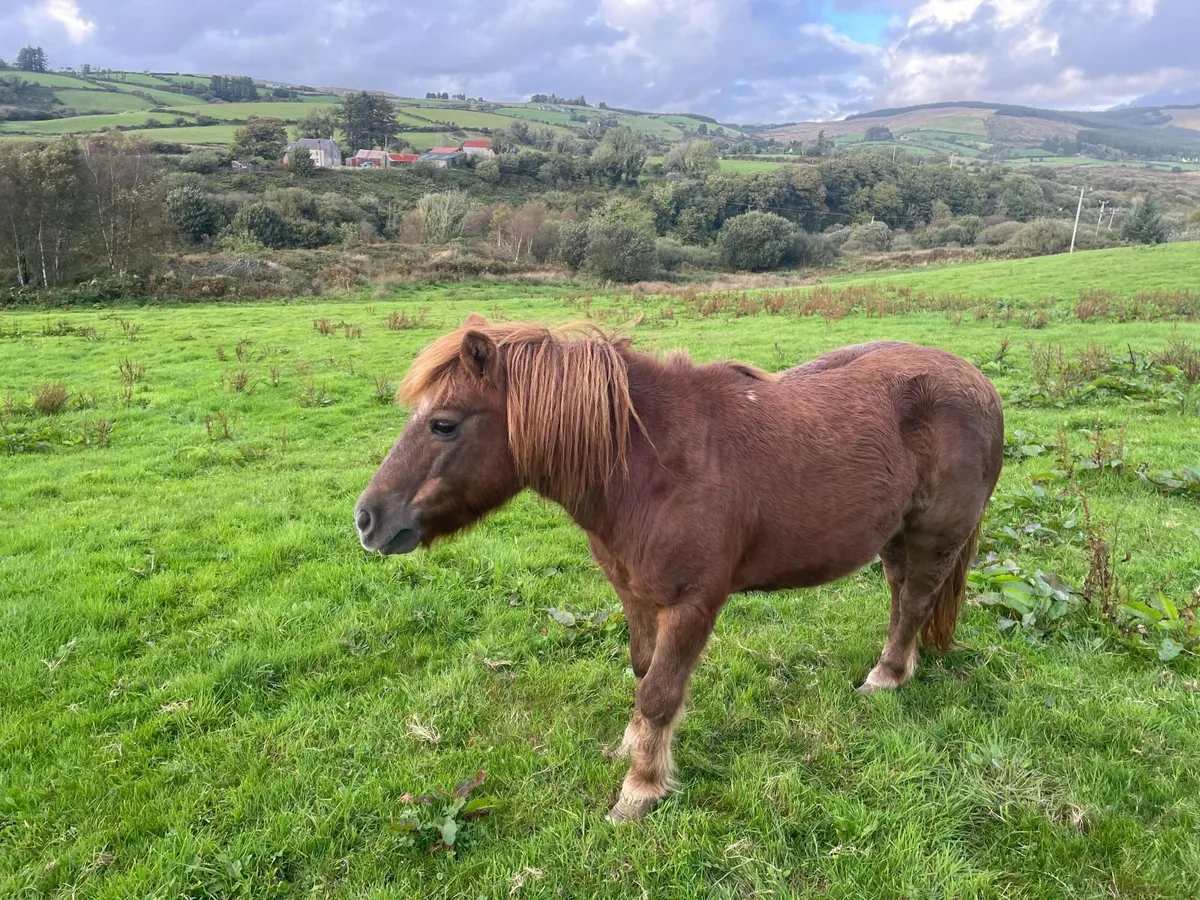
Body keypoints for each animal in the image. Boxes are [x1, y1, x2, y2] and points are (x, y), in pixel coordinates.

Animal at [355, 314, 1004, 822]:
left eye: (443, 422)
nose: (367, 520)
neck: (653, 465)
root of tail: (977, 382)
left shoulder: (692, 605)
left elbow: (661, 694)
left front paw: (640, 790)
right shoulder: (636, 597)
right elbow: (643, 676)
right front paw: (630, 750)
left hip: (934, 534)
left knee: (916, 599)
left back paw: (887, 676)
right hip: (894, 537)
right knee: (901, 597)